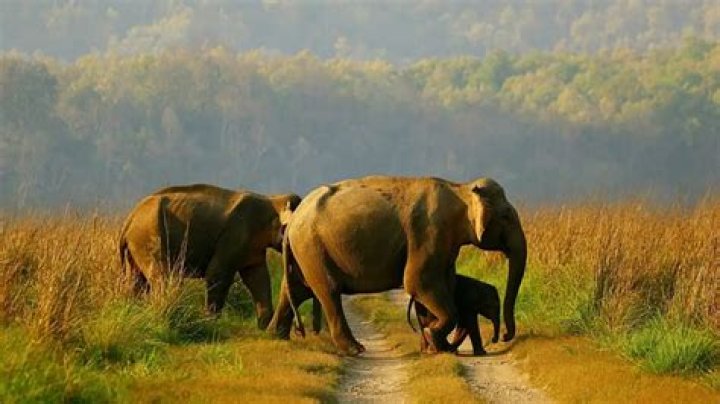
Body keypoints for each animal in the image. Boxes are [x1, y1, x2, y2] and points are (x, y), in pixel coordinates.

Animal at [118, 183, 301, 328]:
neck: (273, 200)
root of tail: (128, 220)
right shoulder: (234, 235)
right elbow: (217, 273)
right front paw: (211, 322)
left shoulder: (252, 248)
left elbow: (258, 277)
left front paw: (265, 326)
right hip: (148, 237)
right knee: (163, 277)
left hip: (136, 247)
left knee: (137, 281)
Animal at [268, 175, 526, 355]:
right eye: (506, 216)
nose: (504, 336)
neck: (460, 189)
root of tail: (292, 221)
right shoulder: (428, 234)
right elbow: (418, 282)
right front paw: (434, 338)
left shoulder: (443, 243)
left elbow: (437, 285)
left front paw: (434, 346)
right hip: (313, 249)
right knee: (328, 291)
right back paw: (355, 349)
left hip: (305, 252)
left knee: (296, 290)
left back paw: (276, 337)